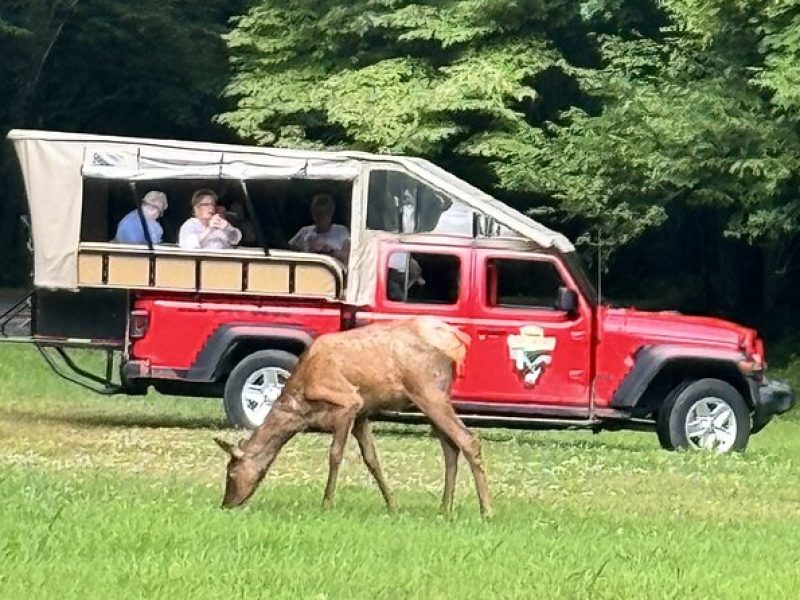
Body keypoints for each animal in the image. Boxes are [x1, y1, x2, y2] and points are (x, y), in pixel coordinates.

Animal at [217, 316, 494, 516]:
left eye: (231, 472)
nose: (226, 504)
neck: (302, 408)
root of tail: (456, 337)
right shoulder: (362, 414)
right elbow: (372, 459)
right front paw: (392, 506)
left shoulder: (349, 402)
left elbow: (335, 455)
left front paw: (327, 504)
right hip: (434, 396)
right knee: (451, 447)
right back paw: (444, 508)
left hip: (427, 390)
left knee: (468, 440)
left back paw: (487, 510)